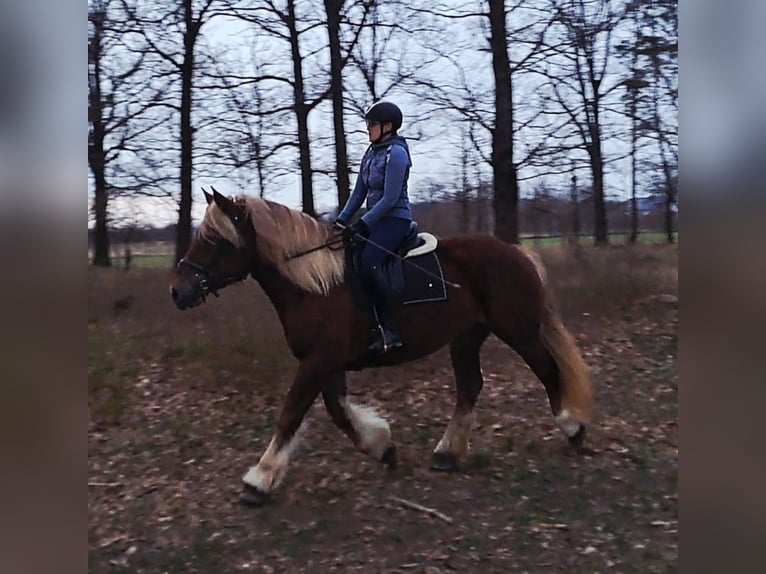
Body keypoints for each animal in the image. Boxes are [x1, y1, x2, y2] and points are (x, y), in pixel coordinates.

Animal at [169, 189, 593, 507]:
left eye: (214, 240)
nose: (178, 291)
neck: (315, 286)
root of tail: (517, 253)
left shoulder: (318, 361)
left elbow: (291, 413)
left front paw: (258, 480)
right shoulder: (325, 363)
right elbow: (338, 412)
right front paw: (382, 447)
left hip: (518, 331)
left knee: (547, 371)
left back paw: (573, 428)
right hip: (466, 337)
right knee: (470, 385)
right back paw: (447, 454)